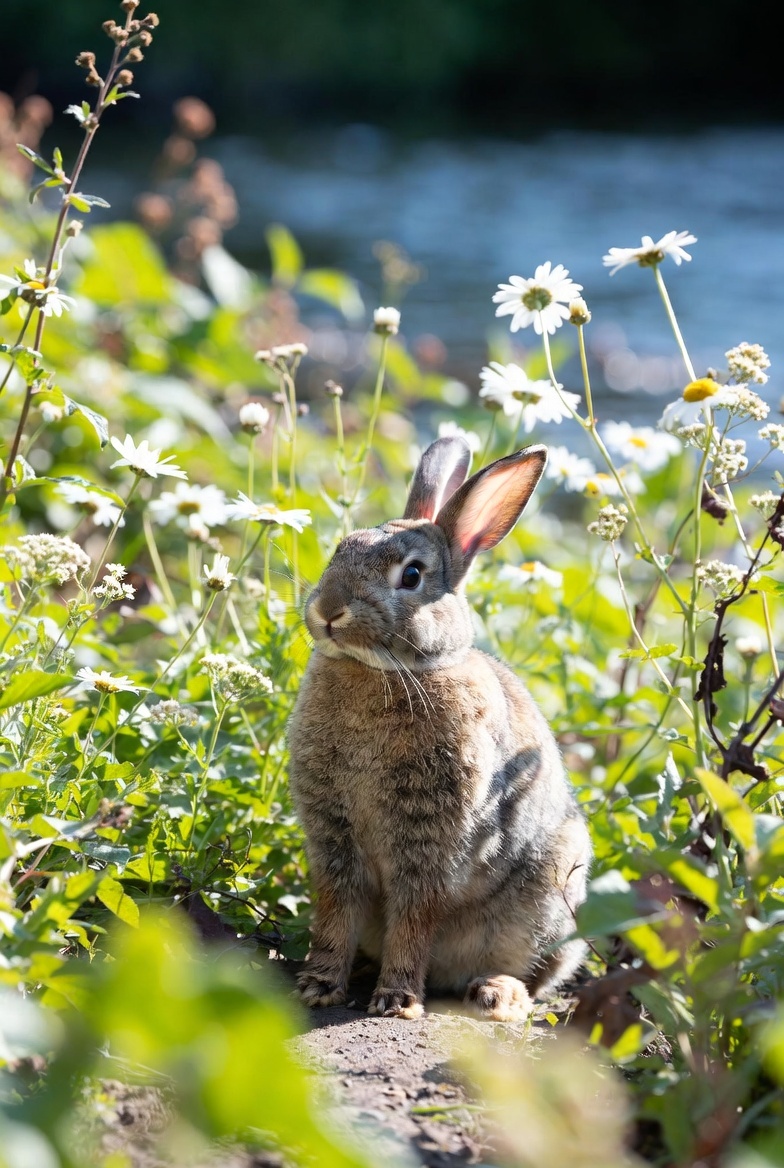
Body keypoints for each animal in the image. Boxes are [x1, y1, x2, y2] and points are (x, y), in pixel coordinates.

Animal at [287, 436, 591, 1021]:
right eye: (339, 549)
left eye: (411, 576)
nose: (329, 610)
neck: (383, 670)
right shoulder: (333, 833)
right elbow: (336, 906)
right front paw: (318, 984)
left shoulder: (432, 838)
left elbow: (415, 914)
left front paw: (397, 1001)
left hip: (552, 897)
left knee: (536, 973)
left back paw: (496, 993)